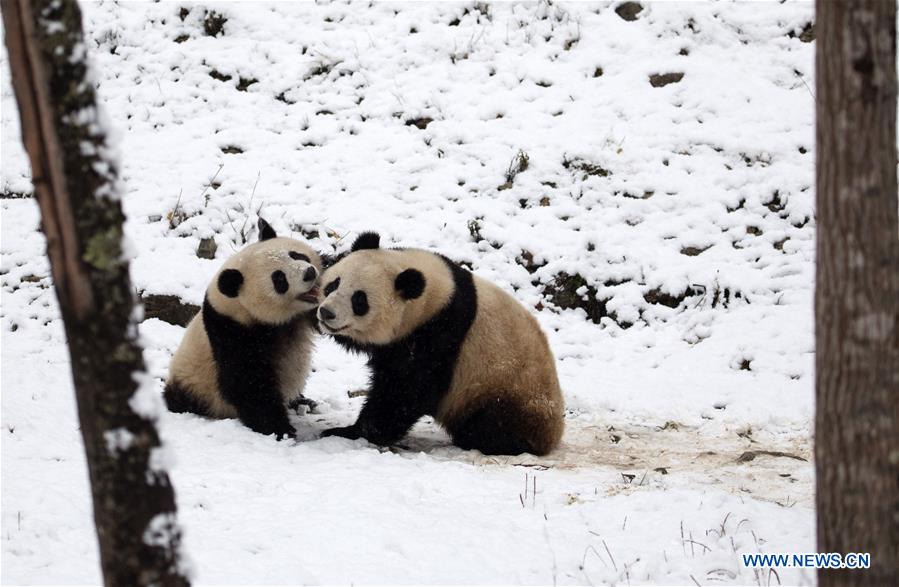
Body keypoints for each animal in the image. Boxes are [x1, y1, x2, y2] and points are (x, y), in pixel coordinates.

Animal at [164, 218, 324, 438]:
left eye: (296, 255)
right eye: (279, 279)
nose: (309, 273)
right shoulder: (230, 330)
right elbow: (247, 382)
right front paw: (279, 429)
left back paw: (304, 401)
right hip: (192, 385)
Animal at [316, 232, 564, 458]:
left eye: (359, 300)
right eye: (334, 284)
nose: (326, 313)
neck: (434, 296)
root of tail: (553, 434)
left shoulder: (439, 335)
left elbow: (404, 390)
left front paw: (349, 432)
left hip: (507, 391)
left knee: (490, 424)